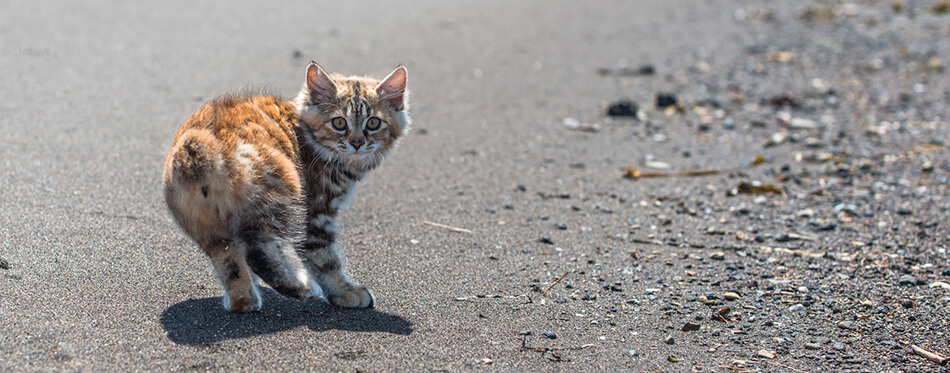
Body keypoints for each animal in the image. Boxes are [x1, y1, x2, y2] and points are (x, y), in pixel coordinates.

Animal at [164, 63, 410, 310]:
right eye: (339, 123)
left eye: (373, 123)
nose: (357, 143)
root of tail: (196, 145)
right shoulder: (317, 213)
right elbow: (327, 260)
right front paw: (346, 292)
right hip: (282, 194)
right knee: (257, 248)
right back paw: (303, 287)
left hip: (208, 227)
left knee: (230, 261)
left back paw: (244, 300)